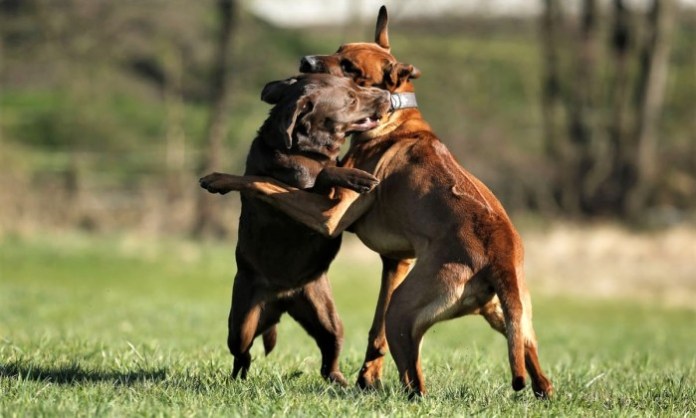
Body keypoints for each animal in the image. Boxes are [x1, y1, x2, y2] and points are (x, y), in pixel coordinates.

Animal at [200, 72, 392, 386]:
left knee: (329, 356)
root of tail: (282, 299)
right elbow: (313, 175)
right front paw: (356, 176)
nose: (387, 96)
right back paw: (239, 377)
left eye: (355, 85)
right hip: (241, 323)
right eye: (351, 99)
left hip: (327, 318)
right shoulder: (311, 201)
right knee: (242, 353)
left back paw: (339, 380)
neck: (304, 151)